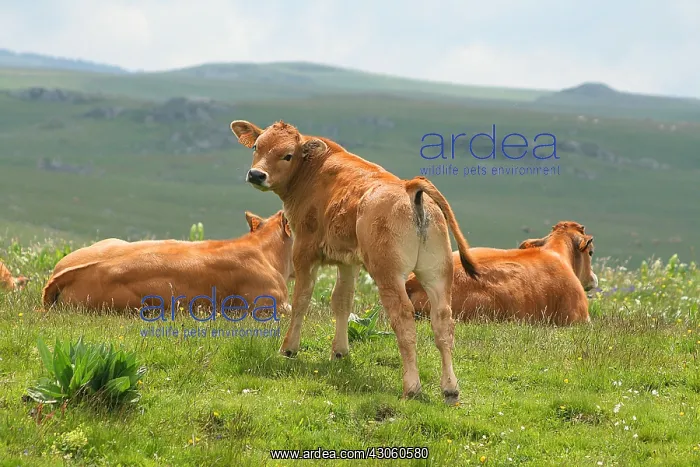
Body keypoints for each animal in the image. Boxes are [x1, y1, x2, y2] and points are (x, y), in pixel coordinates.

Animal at [229, 119, 479, 404]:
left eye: (287, 155)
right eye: (257, 147)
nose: (256, 174)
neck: (314, 170)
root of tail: (409, 186)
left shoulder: (305, 251)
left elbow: (301, 300)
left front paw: (289, 348)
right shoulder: (348, 262)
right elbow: (342, 301)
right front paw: (339, 352)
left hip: (389, 275)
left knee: (404, 321)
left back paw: (412, 386)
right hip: (437, 273)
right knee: (443, 322)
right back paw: (450, 388)